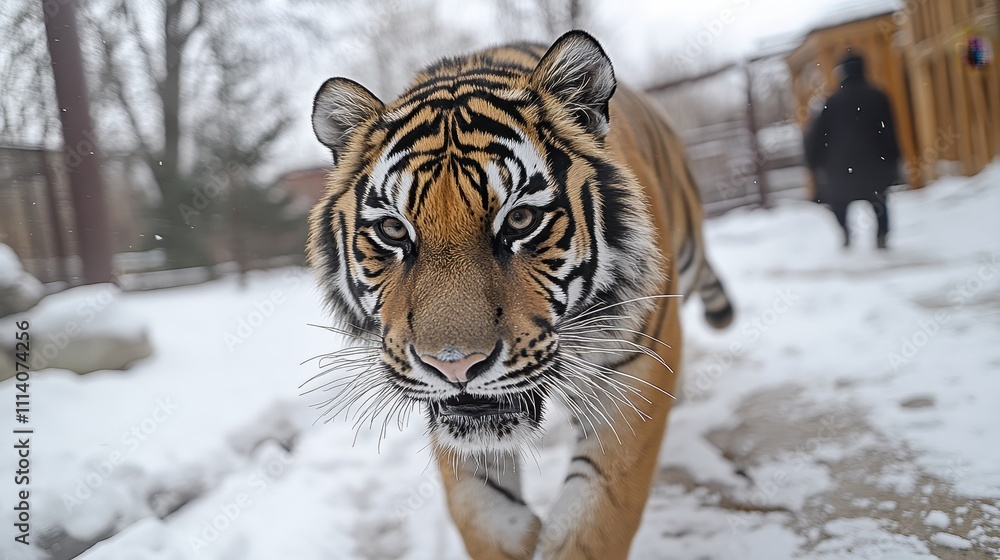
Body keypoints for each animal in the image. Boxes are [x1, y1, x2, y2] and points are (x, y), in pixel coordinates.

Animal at [306, 30, 734, 560]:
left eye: (520, 220)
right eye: (392, 230)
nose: (454, 366)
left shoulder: (633, 368)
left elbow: (597, 513)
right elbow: (480, 512)